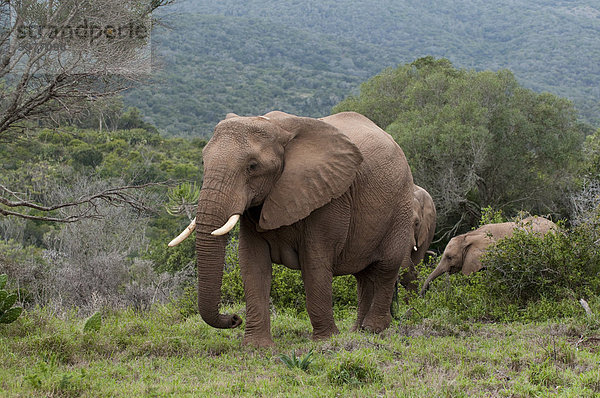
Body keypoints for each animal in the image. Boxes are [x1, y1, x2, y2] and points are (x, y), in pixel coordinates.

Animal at [166, 110, 414, 346]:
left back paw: (374, 329)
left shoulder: (328, 195)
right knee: (363, 277)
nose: (235, 318)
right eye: (203, 162)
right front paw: (257, 347)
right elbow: (252, 263)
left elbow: (314, 262)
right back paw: (358, 332)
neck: (278, 127)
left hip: (402, 204)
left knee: (386, 267)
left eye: (252, 167)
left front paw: (326, 341)